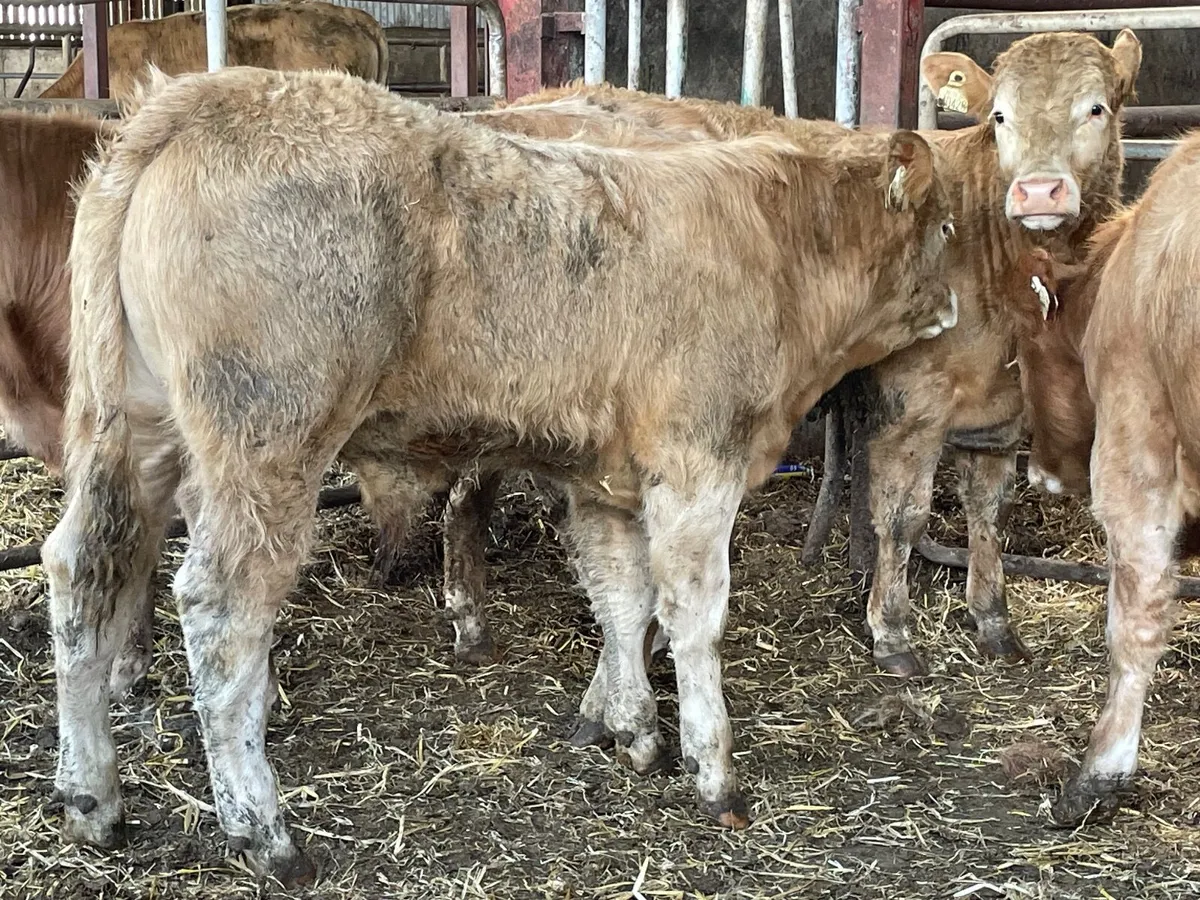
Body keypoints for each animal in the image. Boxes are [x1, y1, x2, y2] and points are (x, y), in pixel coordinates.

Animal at [45, 65, 958, 880]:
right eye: (947, 227)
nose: (957, 309)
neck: (773, 240)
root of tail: (203, 96)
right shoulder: (697, 463)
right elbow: (693, 616)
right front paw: (713, 770)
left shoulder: (606, 484)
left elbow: (621, 600)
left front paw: (634, 732)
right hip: (266, 444)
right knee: (220, 610)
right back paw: (263, 830)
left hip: (129, 428)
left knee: (78, 572)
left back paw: (93, 799)